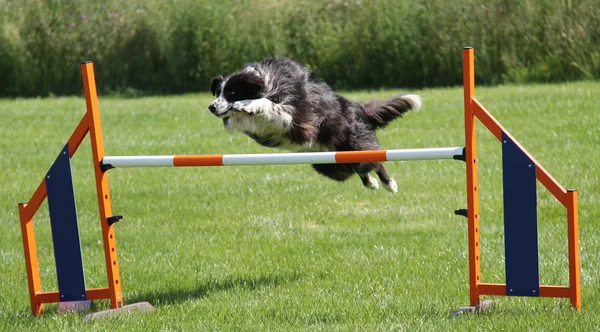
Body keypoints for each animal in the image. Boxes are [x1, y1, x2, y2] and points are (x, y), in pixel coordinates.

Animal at [210, 57, 422, 192]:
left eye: (232, 93)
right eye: (218, 92)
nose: (211, 107)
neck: (265, 81)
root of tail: (358, 108)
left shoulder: (301, 118)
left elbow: (268, 104)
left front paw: (247, 105)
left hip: (354, 144)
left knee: (373, 161)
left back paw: (389, 184)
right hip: (329, 164)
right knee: (357, 168)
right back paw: (371, 183)